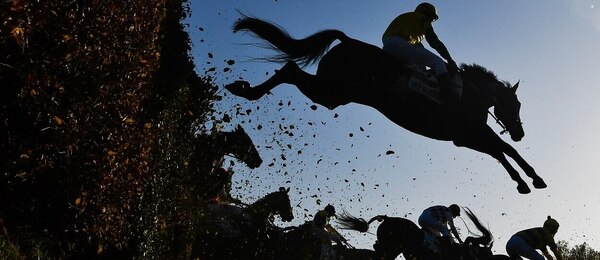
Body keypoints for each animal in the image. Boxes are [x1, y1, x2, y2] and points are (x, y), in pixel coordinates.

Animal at [227, 16, 548, 194]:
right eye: (516, 104)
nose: (519, 132)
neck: (470, 94)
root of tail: (347, 41)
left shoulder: (468, 137)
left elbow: (501, 152)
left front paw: (527, 180)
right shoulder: (469, 134)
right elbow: (503, 151)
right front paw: (530, 179)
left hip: (332, 93)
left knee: (290, 70)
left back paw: (243, 89)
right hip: (331, 92)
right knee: (290, 70)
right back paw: (247, 92)